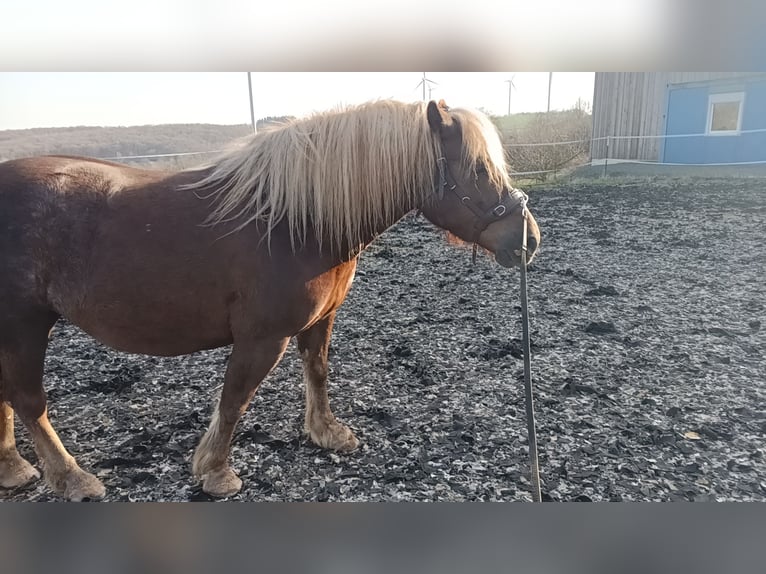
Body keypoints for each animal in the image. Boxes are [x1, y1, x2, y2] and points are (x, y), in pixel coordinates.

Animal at [0, 99, 540, 501]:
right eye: (477, 167)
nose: (529, 239)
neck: (295, 221)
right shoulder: (263, 337)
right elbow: (235, 398)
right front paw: (216, 472)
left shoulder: (320, 320)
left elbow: (317, 373)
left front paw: (327, 433)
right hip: (24, 324)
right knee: (28, 400)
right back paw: (71, 478)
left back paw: (13, 469)